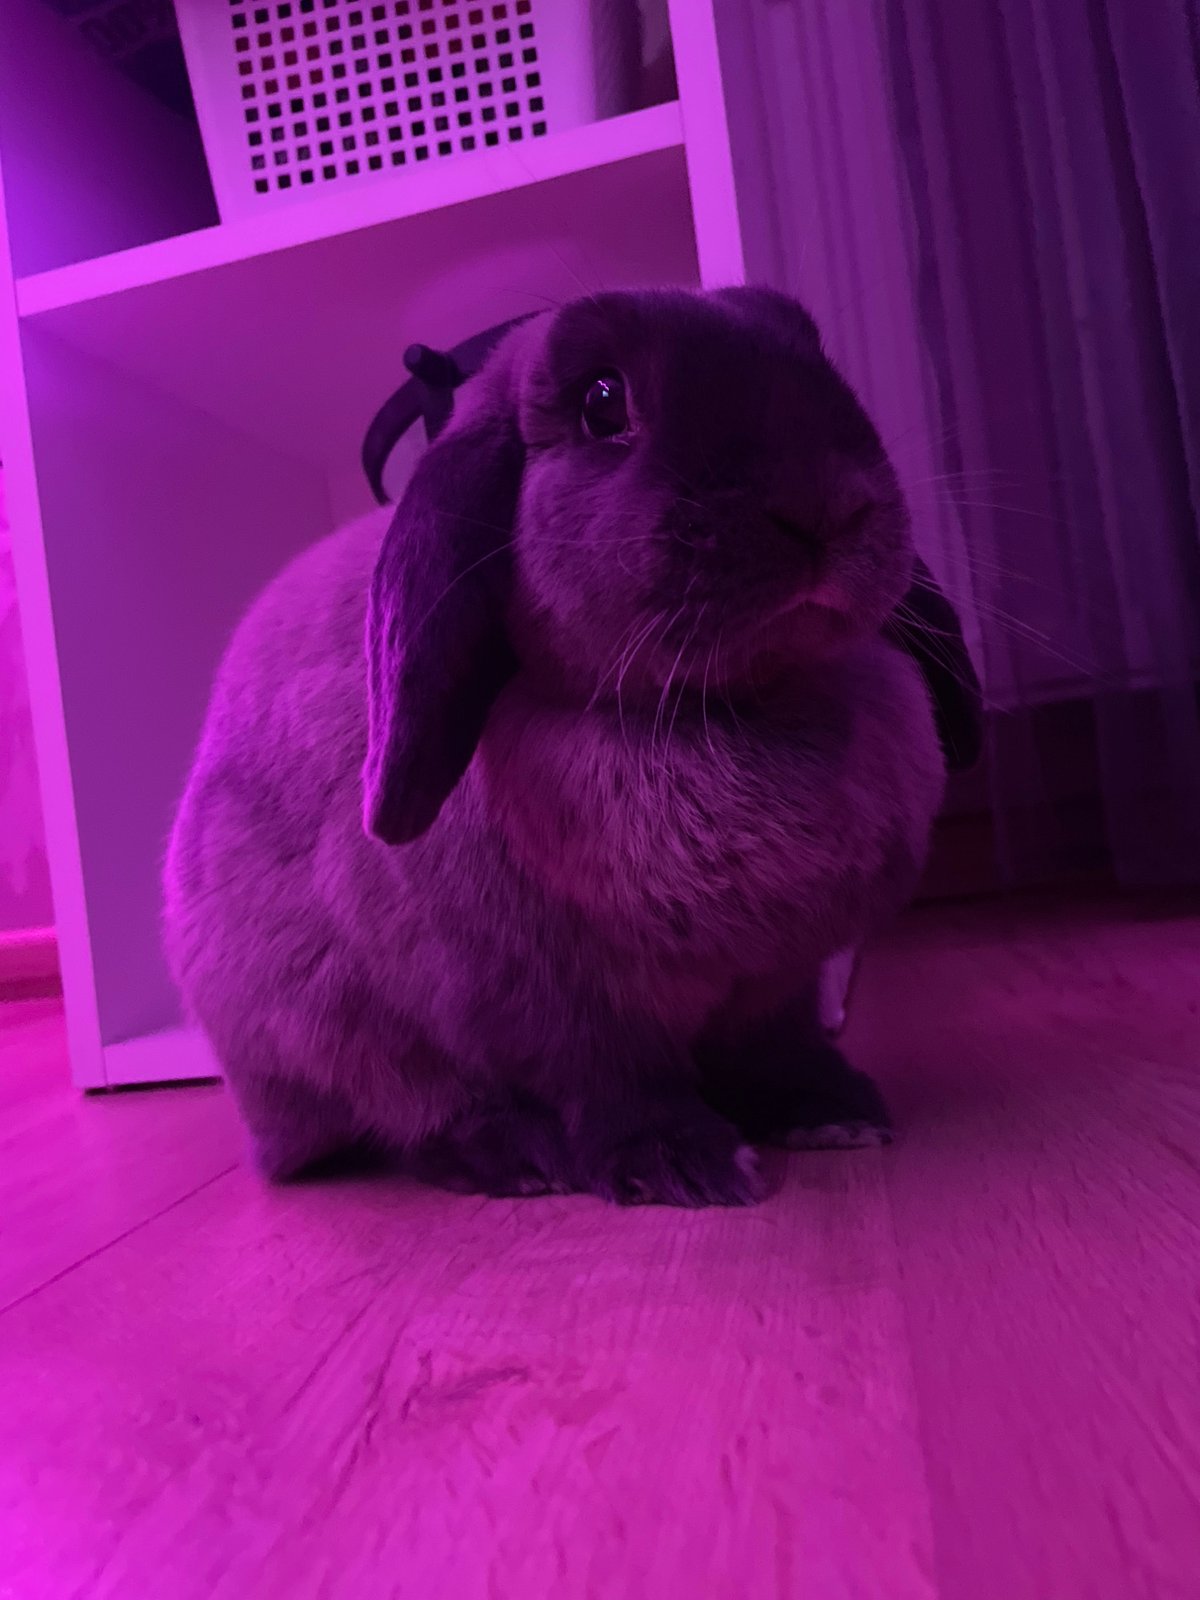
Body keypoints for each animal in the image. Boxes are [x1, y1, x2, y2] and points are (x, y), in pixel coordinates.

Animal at [163, 285, 946, 1206]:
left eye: (814, 351)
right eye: (601, 402)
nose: (826, 505)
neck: (725, 707)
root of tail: (263, 1132)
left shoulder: (775, 984)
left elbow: (780, 1048)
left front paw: (834, 1112)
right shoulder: (549, 1007)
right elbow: (608, 1084)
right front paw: (683, 1164)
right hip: (330, 1031)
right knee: (412, 1118)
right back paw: (518, 1158)